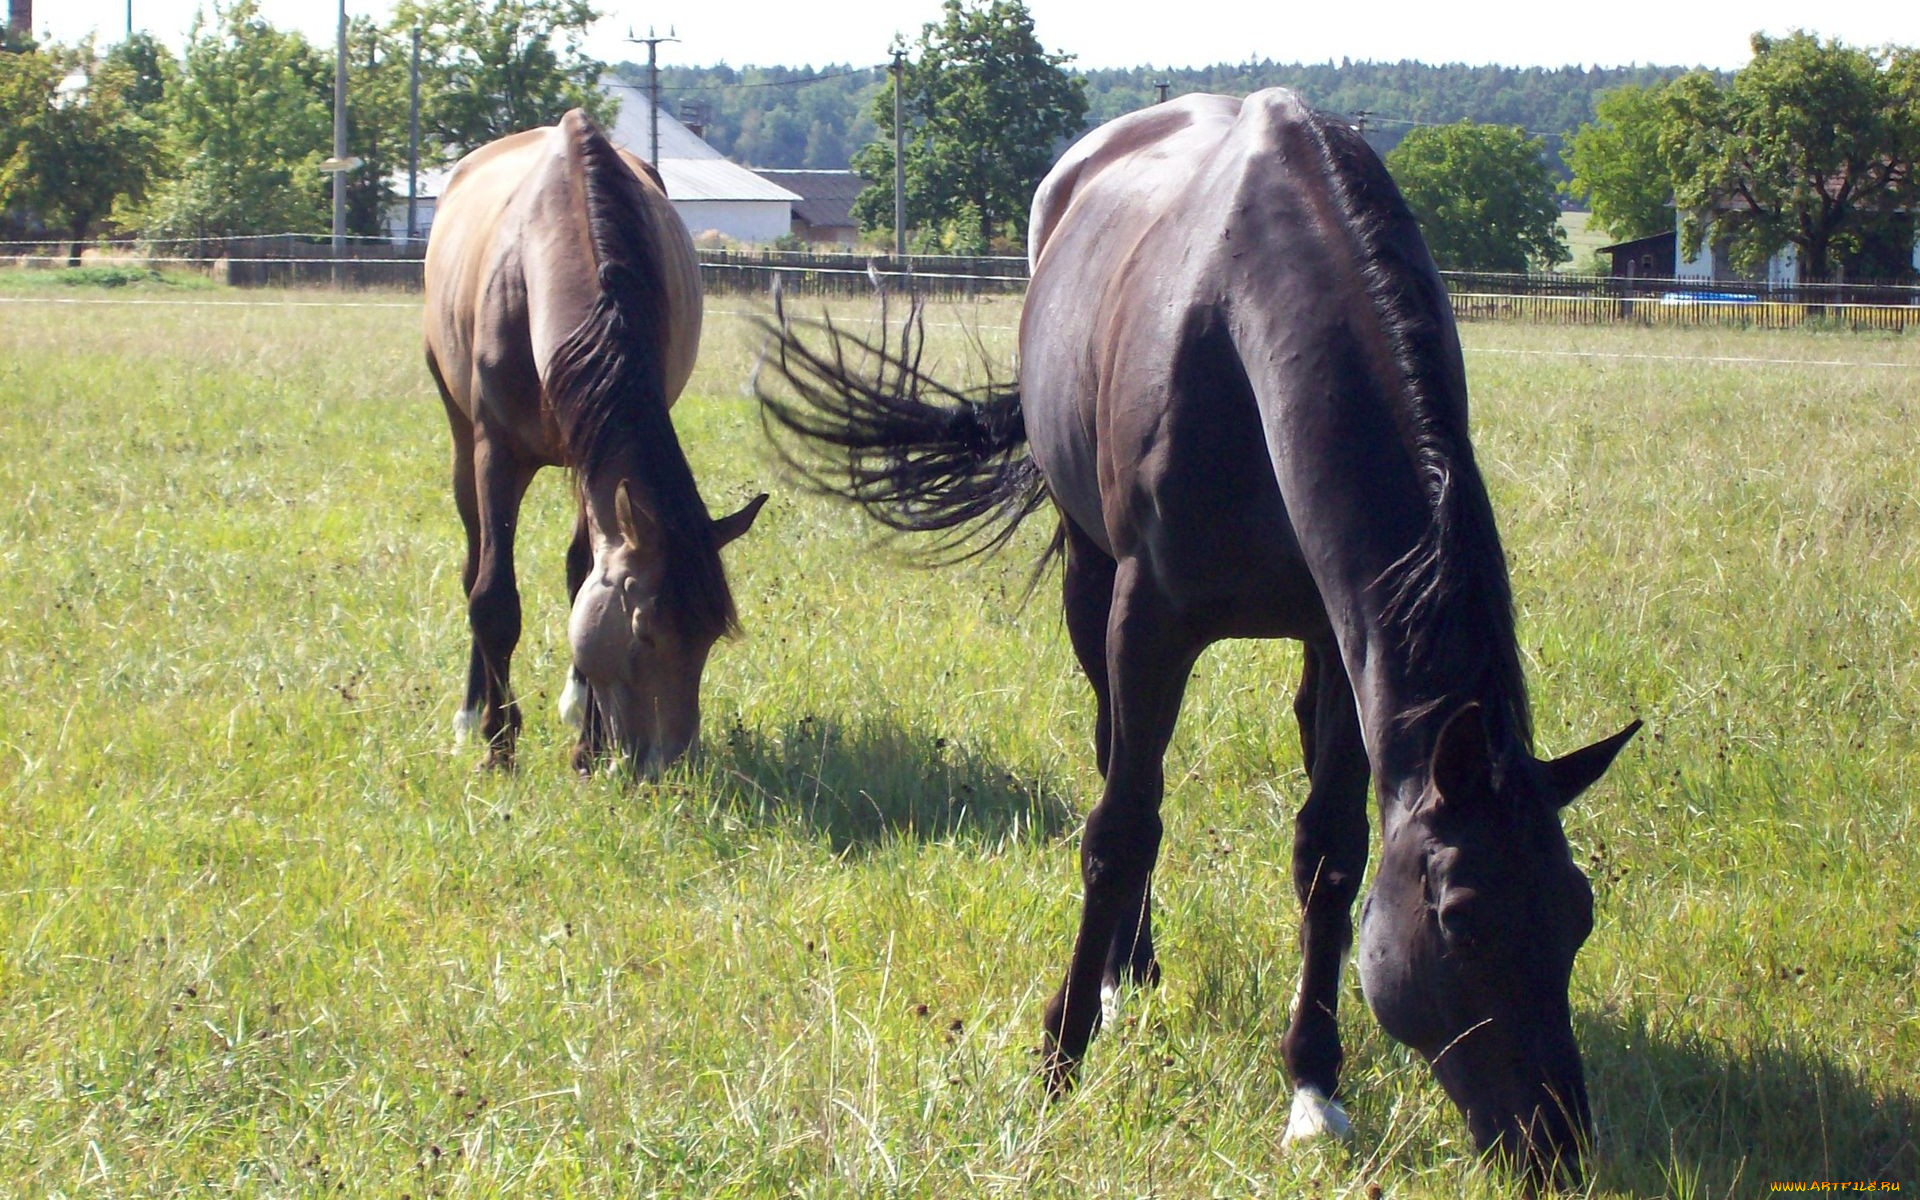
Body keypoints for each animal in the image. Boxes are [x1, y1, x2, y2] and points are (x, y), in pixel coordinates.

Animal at [426, 109, 764, 768]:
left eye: (711, 635)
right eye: (643, 632)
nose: (668, 762)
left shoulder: (593, 454)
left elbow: (583, 575)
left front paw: (589, 742)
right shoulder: (495, 452)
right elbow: (493, 598)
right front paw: (498, 746)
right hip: (459, 440)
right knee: (474, 560)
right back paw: (471, 712)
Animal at [756, 91, 1643, 1182]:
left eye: (1578, 914)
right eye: (1461, 919)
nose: (1556, 1146)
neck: (1247, 332)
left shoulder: (1341, 637)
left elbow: (1332, 851)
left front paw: (1314, 1085)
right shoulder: (1150, 620)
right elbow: (1120, 826)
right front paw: (1059, 1054)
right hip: (1090, 574)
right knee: (1113, 758)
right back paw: (1122, 969)